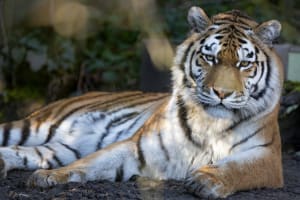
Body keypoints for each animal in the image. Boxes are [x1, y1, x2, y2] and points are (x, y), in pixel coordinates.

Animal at [0, 6, 284, 198]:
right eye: (210, 58)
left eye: (244, 64)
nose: (221, 93)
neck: (210, 123)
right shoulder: (140, 148)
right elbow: (91, 162)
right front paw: (47, 177)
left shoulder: (268, 156)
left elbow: (239, 169)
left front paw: (206, 180)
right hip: (36, 126)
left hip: (63, 146)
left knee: (28, 152)